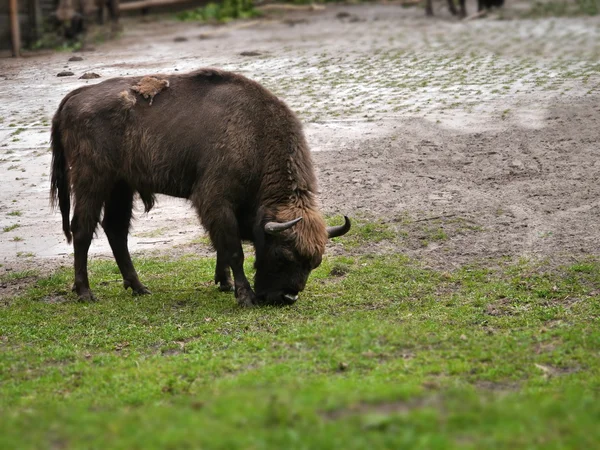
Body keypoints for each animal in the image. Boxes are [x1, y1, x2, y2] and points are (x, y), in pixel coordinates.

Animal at [52, 67, 352, 306]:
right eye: (282, 255)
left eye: (314, 263)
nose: (287, 298)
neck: (254, 133)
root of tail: (74, 97)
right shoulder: (216, 200)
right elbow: (233, 249)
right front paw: (245, 296)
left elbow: (221, 246)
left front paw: (225, 283)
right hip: (93, 182)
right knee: (82, 230)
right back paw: (85, 293)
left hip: (121, 187)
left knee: (116, 231)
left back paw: (139, 287)